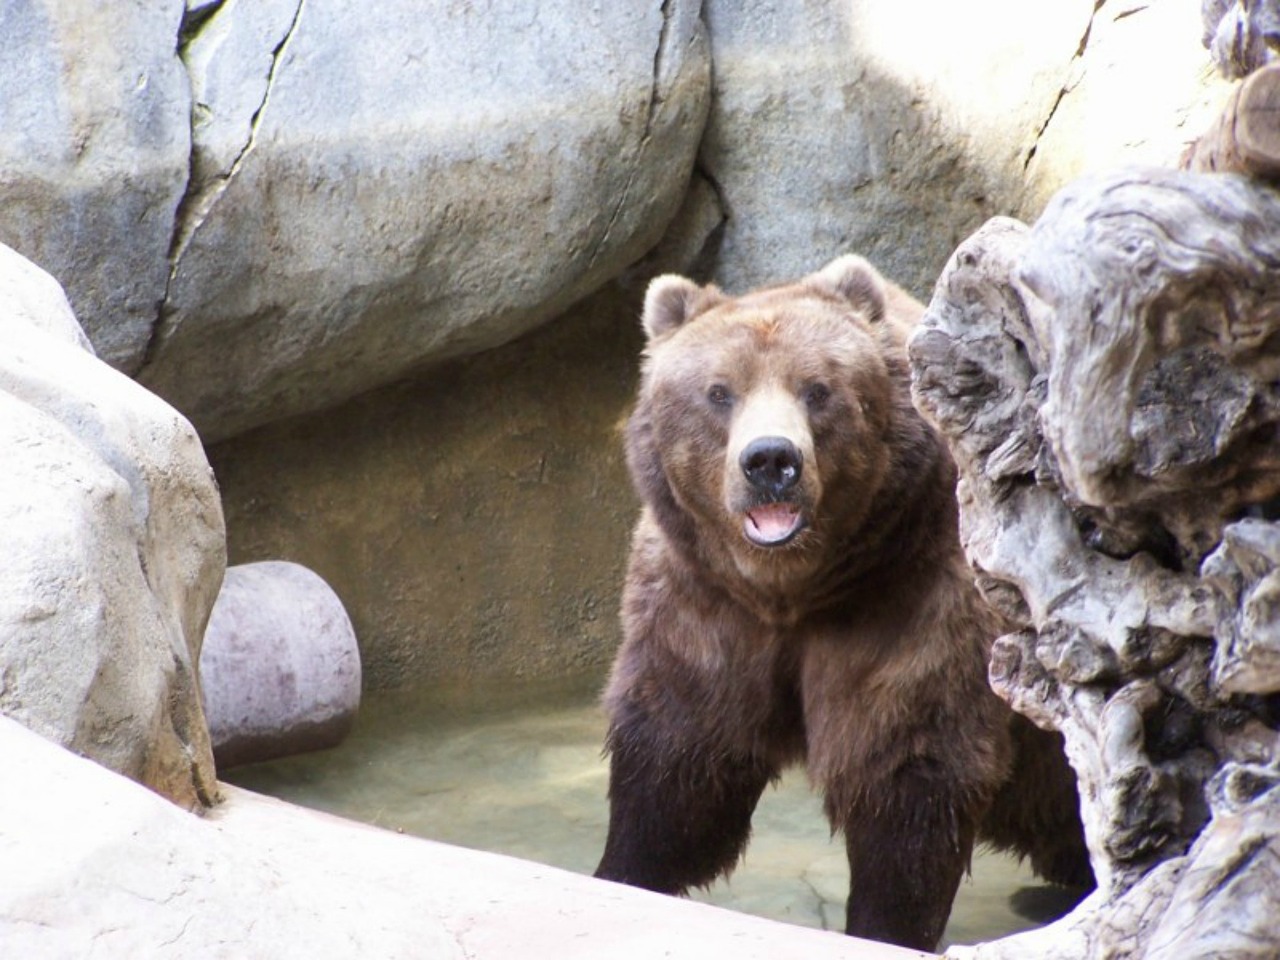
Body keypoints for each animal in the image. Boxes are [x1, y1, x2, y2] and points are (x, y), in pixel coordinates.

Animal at [591, 257, 1090, 957]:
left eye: (817, 389)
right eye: (719, 392)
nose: (771, 460)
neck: (793, 589)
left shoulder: (915, 598)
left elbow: (905, 769)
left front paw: (886, 926)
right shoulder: (704, 602)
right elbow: (677, 760)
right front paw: (622, 873)